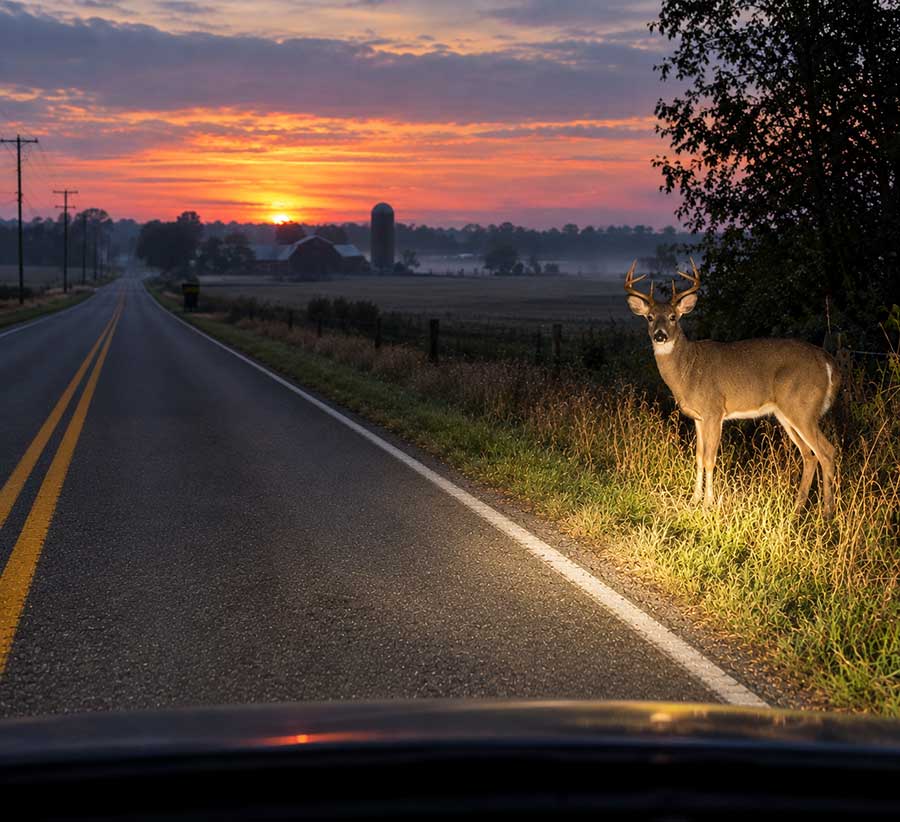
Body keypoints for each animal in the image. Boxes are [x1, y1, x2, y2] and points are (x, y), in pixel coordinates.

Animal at [624, 259, 840, 517]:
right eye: (649, 317)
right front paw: (694, 499)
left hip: (803, 408)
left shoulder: (714, 410)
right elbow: (698, 457)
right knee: (809, 455)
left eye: (673, 317)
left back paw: (827, 513)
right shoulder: (698, 417)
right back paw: (797, 509)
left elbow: (710, 458)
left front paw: (708, 503)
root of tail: (828, 362)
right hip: (788, 413)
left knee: (827, 452)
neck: (688, 369)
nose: (660, 335)